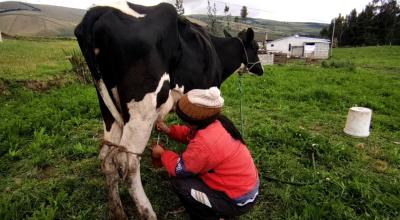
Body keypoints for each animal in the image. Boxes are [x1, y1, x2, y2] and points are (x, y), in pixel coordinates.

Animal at [74, 1, 262, 218]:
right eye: (256, 47)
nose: (261, 69)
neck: (217, 53)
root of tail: (100, 10)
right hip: (143, 111)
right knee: (128, 162)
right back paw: (148, 212)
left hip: (108, 109)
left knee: (106, 157)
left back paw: (118, 211)